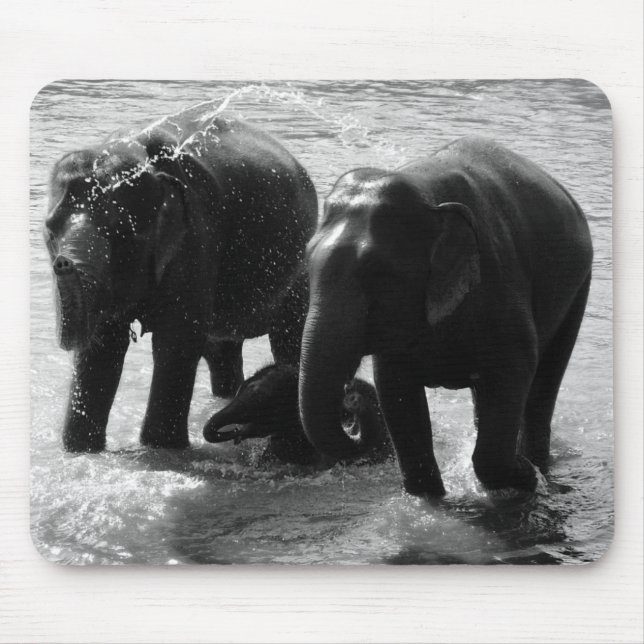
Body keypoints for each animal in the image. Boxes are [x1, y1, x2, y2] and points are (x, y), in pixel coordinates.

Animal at [44, 109, 317, 452]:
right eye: (49, 229)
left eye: (121, 230)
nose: (62, 262)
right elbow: (104, 345)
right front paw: (81, 450)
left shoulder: (195, 235)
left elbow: (176, 339)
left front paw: (160, 447)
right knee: (222, 351)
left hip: (299, 268)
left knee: (288, 336)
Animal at [298, 136, 593, 499]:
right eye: (307, 263)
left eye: (379, 273)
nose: (351, 400)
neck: (426, 194)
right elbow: (395, 389)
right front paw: (431, 497)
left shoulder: (500, 281)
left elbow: (515, 369)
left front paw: (524, 475)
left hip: (578, 286)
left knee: (544, 381)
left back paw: (537, 464)